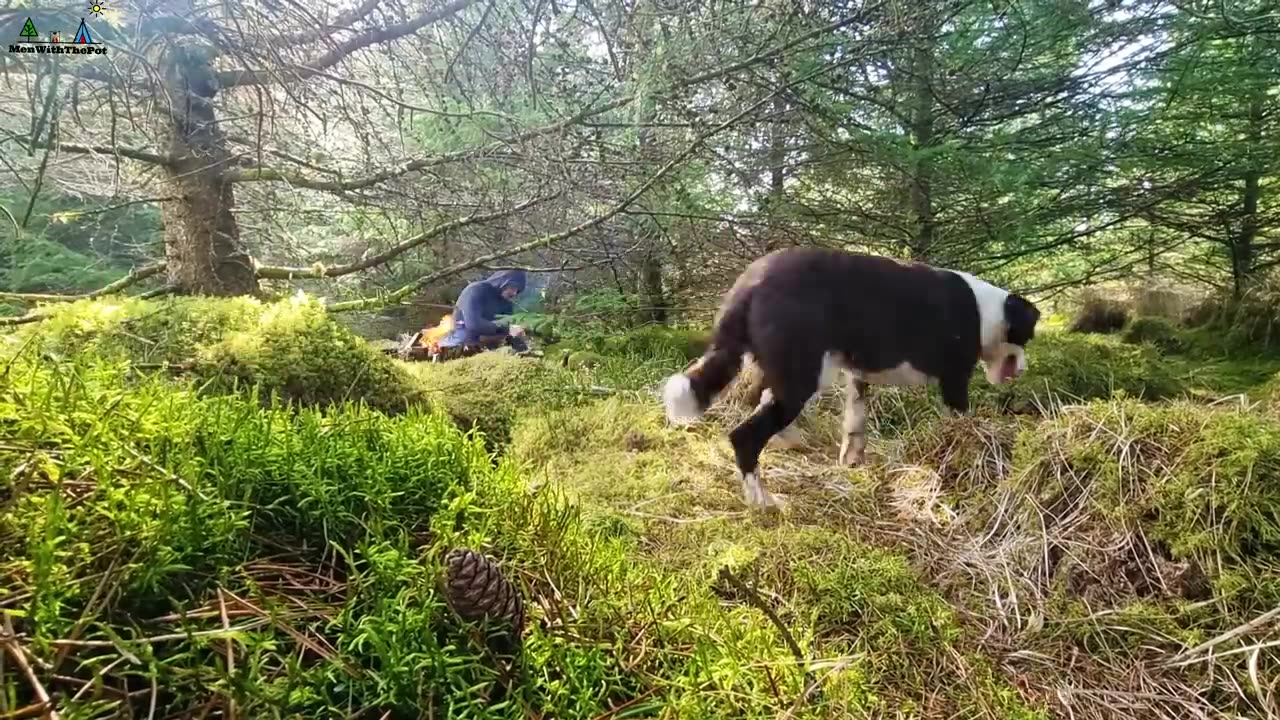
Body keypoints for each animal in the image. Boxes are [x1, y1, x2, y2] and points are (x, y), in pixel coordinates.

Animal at [660, 249, 1039, 507]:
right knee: (745, 436)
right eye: (1029, 335)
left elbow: (855, 422)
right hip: (802, 376)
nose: (1023, 370)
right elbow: (962, 420)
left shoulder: (858, 376)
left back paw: (789, 443)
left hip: (783, 370)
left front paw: (852, 462)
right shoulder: (955, 379)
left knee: (761, 403)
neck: (987, 312)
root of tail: (751, 280)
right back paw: (763, 501)